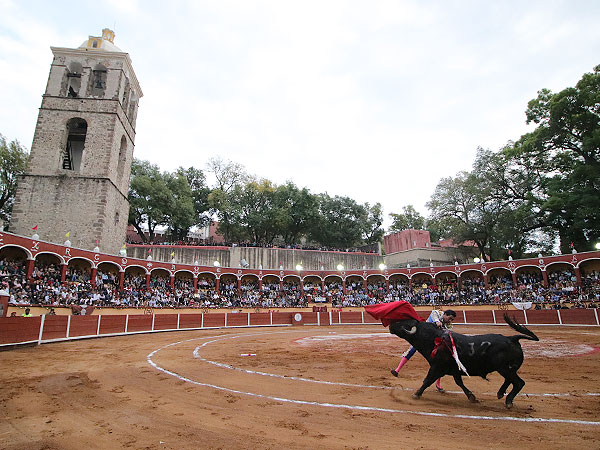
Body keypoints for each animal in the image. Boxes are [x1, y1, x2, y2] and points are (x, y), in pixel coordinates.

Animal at [389, 314, 539, 408]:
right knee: (511, 381)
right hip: (507, 369)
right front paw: (472, 397)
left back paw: (508, 401)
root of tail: (512, 338)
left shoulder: (437, 367)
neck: (433, 338)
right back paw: (500, 393)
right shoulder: (454, 370)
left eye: (403, 323)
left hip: (505, 369)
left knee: (519, 383)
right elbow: (459, 383)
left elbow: (427, 380)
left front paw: (416, 394)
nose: (390, 325)